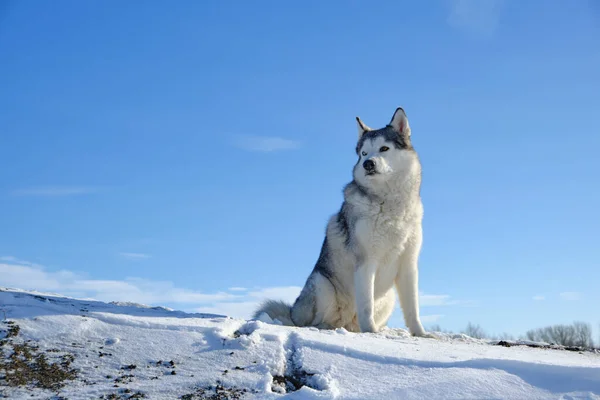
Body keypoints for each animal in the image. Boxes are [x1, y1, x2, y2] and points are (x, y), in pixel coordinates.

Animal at [255, 108, 428, 336]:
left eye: (384, 148)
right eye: (364, 153)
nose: (368, 164)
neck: (390, 205)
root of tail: (293, 314)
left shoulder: (409, 264)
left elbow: (413, 308)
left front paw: (421, 333)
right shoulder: (366, 261)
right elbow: (366, 305)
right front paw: (370, 331)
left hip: (388, 297)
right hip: (322, 283)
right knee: (317, 321)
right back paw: (328, 327)